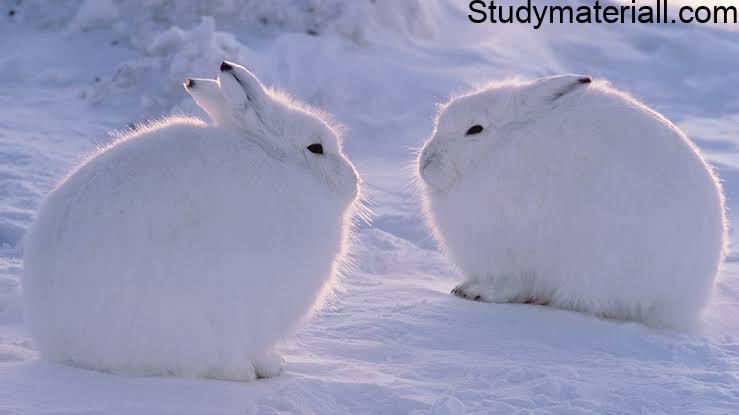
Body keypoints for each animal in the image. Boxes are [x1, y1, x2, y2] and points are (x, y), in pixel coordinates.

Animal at [22, 61, 361, 380]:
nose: (355, 181)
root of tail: (63, 346)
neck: (275, 159)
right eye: (316, 148)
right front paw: (265, 367)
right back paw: (240, 371)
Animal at [417, 74, 727, 329]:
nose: (425, 163)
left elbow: (512, 283)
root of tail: (688, 300)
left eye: (475, 129)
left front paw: (474, 292)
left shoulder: (517, 251)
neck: (498, 150)